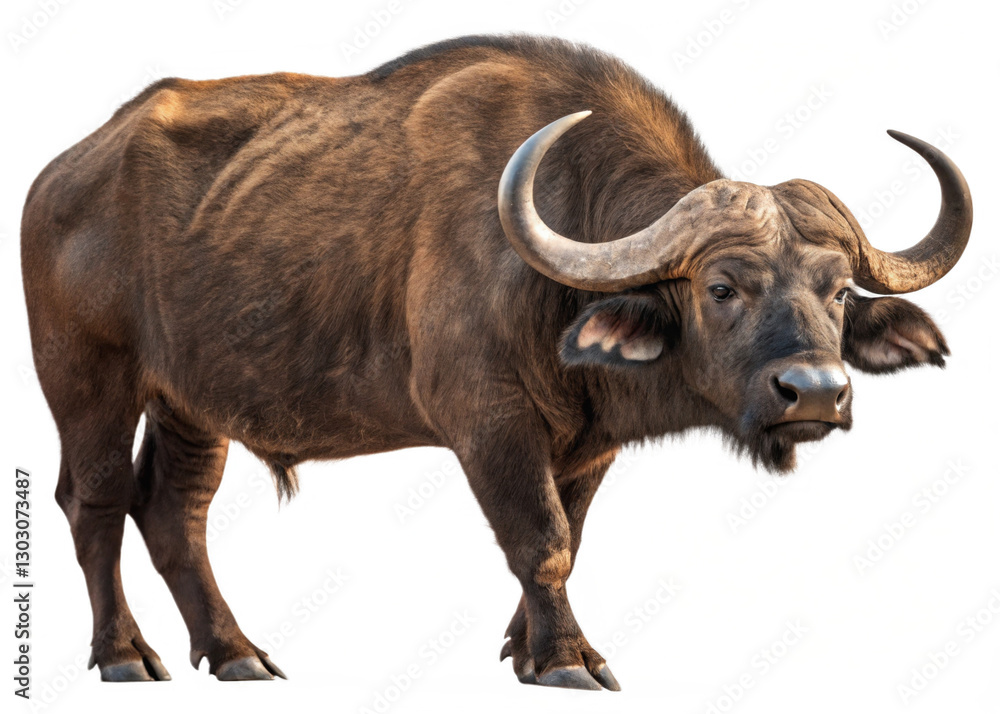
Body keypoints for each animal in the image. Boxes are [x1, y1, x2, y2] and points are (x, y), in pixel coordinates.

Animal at [21, 35, 972, 690]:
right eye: (721, 287)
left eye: (838, 291)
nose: (813, 392)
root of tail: (62, 173)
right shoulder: (490, 426)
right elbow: (540, 540)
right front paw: (566, 661)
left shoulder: (586, 444)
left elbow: (570, 538)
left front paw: (527, 647)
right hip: (89, 379)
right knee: (95, 501)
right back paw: (125, 655)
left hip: (190, 404)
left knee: (174, 511)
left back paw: (236, 653)